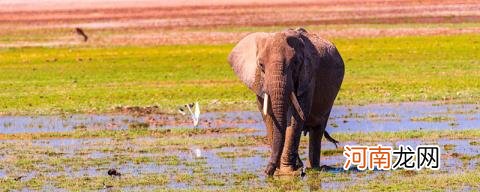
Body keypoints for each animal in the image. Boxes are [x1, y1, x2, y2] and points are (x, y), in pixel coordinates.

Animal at [227, 27, 344, 176]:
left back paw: (315, 168)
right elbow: (268, 116)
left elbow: (296, 117)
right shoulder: (259, 82)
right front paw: (279, 170)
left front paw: (287, 171)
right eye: (261, 65)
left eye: (295, 63)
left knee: (318, 129)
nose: (266, 172)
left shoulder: (308, 77)